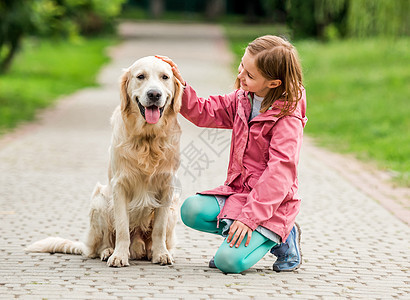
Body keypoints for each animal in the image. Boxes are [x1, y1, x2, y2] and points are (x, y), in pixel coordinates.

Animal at [26, 56, 183, 268]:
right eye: (140, 76)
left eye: (165, 77)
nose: (154, 94)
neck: (147, 139)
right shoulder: (120, 186)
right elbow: (122, 227)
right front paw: (119, 256)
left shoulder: (167, 187)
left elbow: (159, 228)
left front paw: (161, 254)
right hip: (100, 201)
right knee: (101, 243)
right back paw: (108, 251)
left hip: (174, 207)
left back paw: (152, 251)